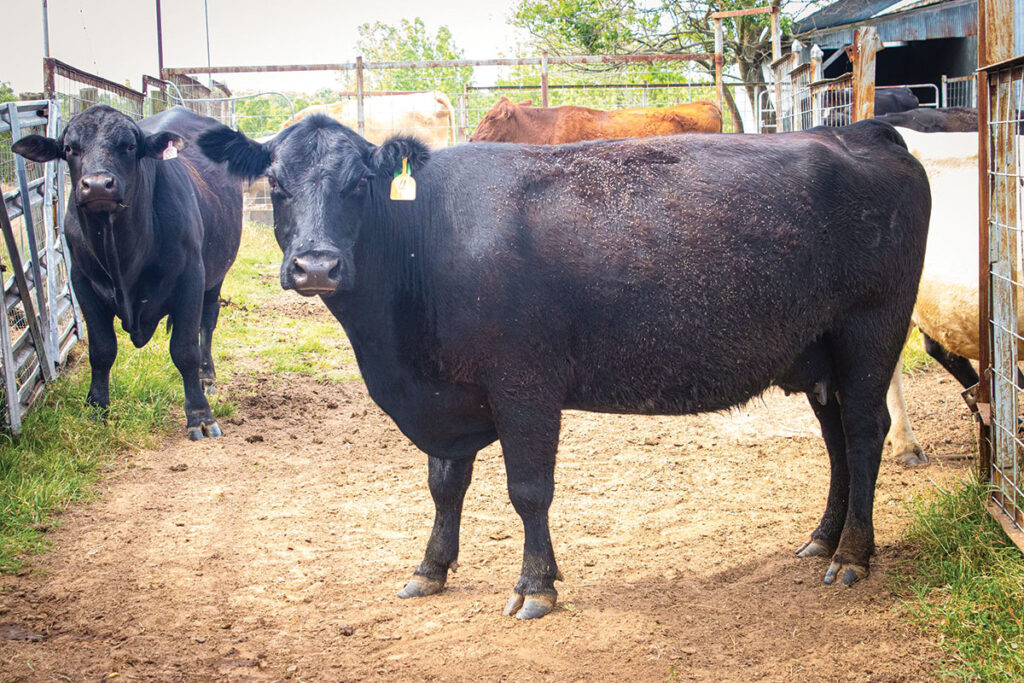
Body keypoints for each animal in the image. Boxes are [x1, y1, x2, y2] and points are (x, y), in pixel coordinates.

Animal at [14, 104, 241, 440]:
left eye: (130, 146)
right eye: (69, 149)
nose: (97, 184)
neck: (123, 257)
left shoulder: (191, 280)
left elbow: (185, 350)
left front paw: (200, 416)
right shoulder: (83, 284)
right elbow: (101, 350)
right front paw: (96, 410)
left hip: (216, 277)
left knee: (207, 323)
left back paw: (207, 376)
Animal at [195, 114, 933, 618]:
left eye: (358, 184)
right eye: (276, 184)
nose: (316, 265)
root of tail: (863, 132)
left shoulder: (524, 383)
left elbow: (528, 489)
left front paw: (535, 586)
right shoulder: (449, 396)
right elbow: (444, 485)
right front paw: (431, 568)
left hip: (870, 333)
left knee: (864, 434)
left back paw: (852, 555)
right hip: (819, 354)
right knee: (836, 442)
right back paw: (823, 539)